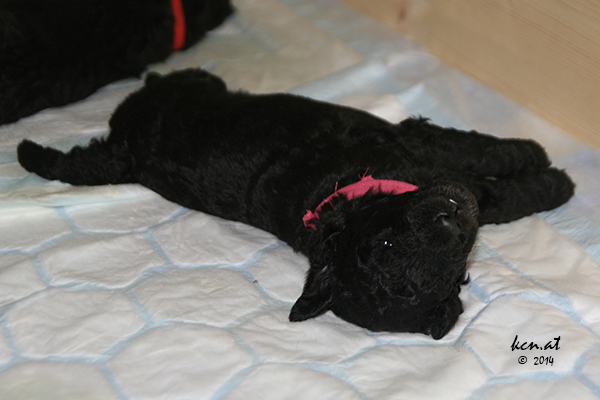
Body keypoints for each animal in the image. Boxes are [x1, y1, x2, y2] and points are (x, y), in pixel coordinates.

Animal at [17, 69, 575, 339]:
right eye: (389, 247)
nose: (448, 220)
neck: (334, 199)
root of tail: (126, 152)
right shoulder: (422, 145)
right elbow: (490, 180)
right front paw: (550, 172)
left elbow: (480, 165)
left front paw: (533, 159)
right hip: (194, 85)